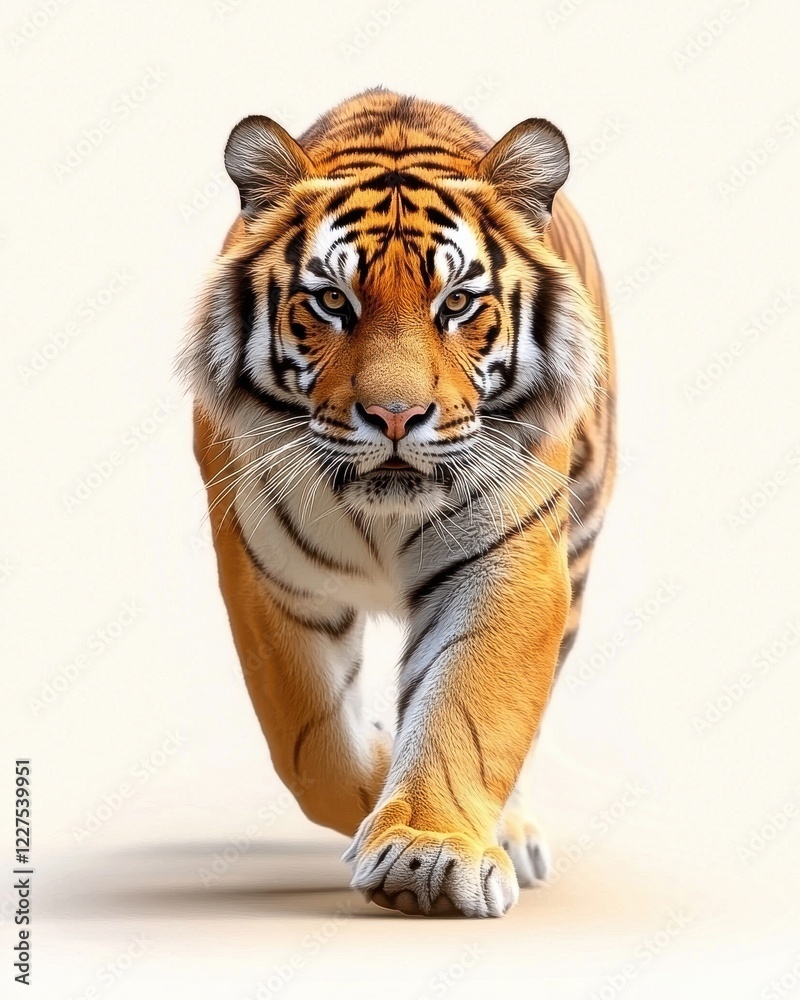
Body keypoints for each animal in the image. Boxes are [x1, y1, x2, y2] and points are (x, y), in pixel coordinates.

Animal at [179, 87, 616, 918]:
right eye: (331, 301)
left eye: (458, 303)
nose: (394, 415)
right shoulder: (265, 575)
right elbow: (309, 741)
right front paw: (381, 774)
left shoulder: (509, 559)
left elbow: (469, 708)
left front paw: (430, 854)